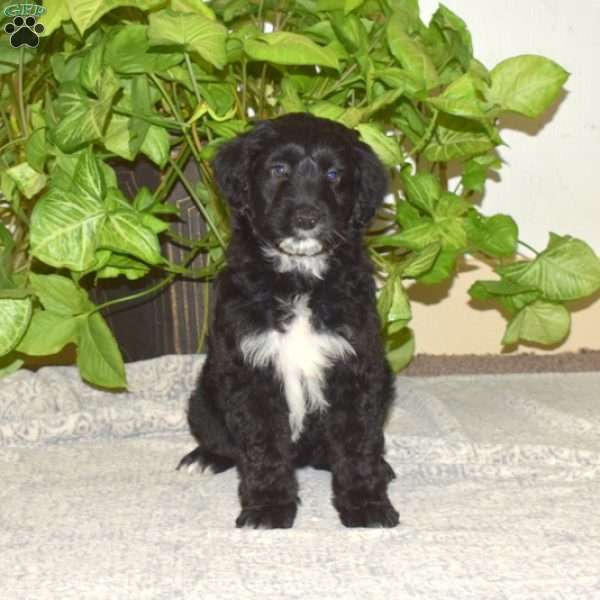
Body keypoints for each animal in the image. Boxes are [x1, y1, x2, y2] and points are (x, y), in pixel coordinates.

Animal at [180, 113, 400, 528]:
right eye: (278, 169)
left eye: (334, 174)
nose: (306, 217)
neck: (299, 278)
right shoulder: (250, 370)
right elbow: (263, 446)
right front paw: (267, 507)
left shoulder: (356, 365)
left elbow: (357, 443)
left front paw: (366, 503)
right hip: (203, 397)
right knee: (219, 437)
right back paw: (204, 458)